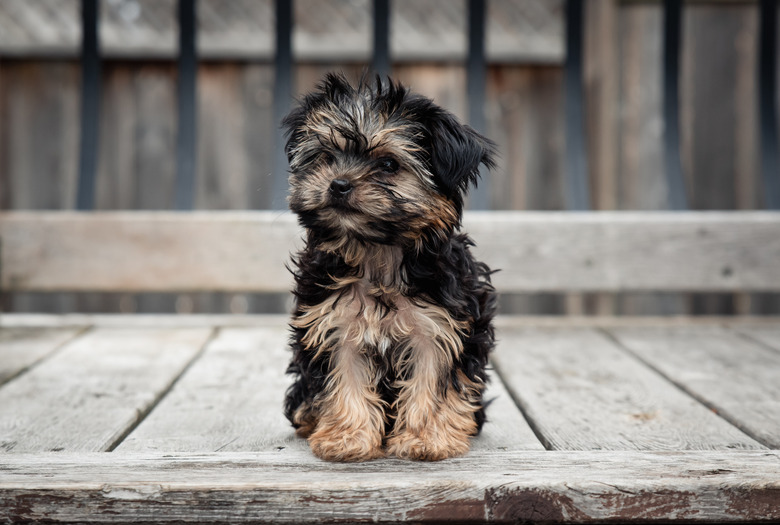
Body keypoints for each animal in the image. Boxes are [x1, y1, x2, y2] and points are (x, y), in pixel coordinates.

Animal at [284, 72, 496, 458]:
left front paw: (425, 437)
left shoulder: (440, 328)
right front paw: (347, 437)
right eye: (326, 157)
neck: (376, 253)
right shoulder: (335, 326)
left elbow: (432, 381)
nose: (338, 184)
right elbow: (346, 378)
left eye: (388, 165)